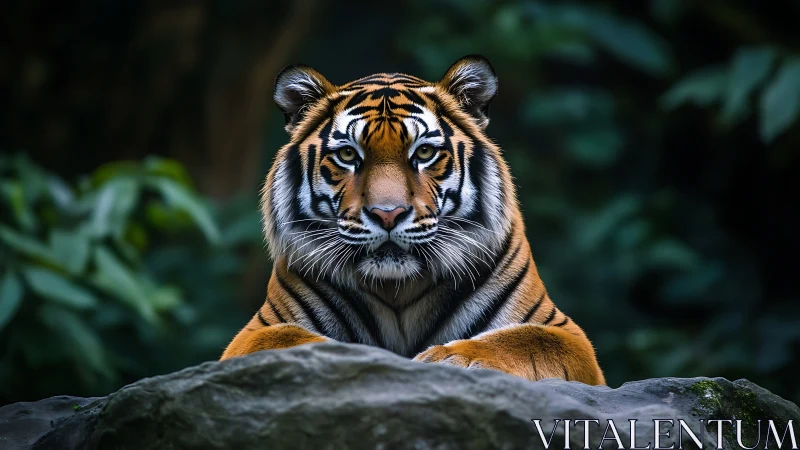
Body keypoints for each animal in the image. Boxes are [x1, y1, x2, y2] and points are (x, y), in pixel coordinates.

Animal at [220, 55, 605, 385]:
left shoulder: (566, 334)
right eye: (347, 155)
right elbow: (287, 342)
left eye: (424, 152)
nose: (387, 213)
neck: (397, 289)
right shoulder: (256, 332)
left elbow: (520, 341)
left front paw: (447, 360)